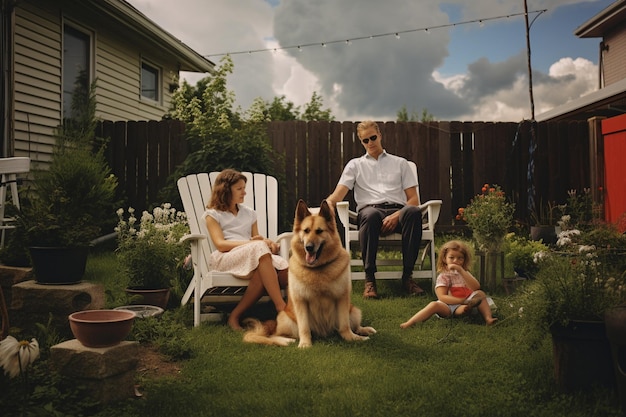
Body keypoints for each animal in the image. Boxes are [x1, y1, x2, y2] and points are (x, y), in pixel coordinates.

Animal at [241, 200, 372, 346]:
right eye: (306, 231)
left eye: (319, 231)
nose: (308, 247)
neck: (317, 269)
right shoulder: (301, 302)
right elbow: (304, 327)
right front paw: (305, 344)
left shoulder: (342, 298)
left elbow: (345, 326)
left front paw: (352, 338)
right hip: (287, 320)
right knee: (273, 336)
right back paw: (286, 340)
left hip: (354, 311)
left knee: (354, 325)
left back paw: (364, 330)